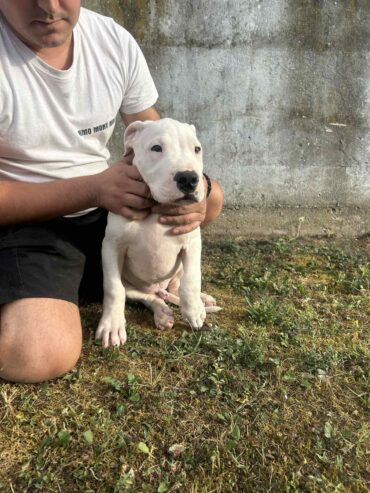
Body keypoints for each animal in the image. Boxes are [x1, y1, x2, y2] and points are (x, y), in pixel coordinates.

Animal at [97, 117, 221, 348]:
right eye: (156, 148)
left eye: (197, 149)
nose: (189, 178)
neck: (156, 207)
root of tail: (158, 288)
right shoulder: (111, 246)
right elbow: (113, 289)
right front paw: (112, 326)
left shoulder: (192, 241)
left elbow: (192, 279)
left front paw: (193, 310)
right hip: (132, 285)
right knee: (147, 297)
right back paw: (162, 313)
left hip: (177, 271)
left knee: (176, 287)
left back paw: (201, 300)